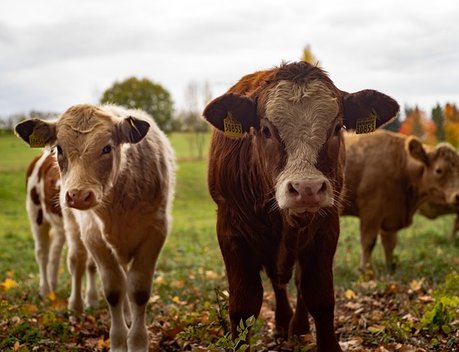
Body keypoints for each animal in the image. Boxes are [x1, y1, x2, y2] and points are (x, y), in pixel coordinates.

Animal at [25, 151, 98, 314]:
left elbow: (92, 264)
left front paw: (92, 300)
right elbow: (77, 259)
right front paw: (76, 309)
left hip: (59, 225)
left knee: (55, 251)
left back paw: (52, 287)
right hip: (36, 211)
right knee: (42, 252)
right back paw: (45, 290)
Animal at [203, 62, 400, 350]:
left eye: (337, 127)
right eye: (266, 130)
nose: (307, 189)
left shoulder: (326, 229)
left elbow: (319, 296)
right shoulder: (231, 232)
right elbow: (243, 306)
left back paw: (297, 327)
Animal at [344, 131, 459, 274]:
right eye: (439, 170)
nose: (458, 195)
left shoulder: (390, 216)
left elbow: (390, 243)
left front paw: (390, 268)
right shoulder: (370, 211)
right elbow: (368, 242)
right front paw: (366, 271)